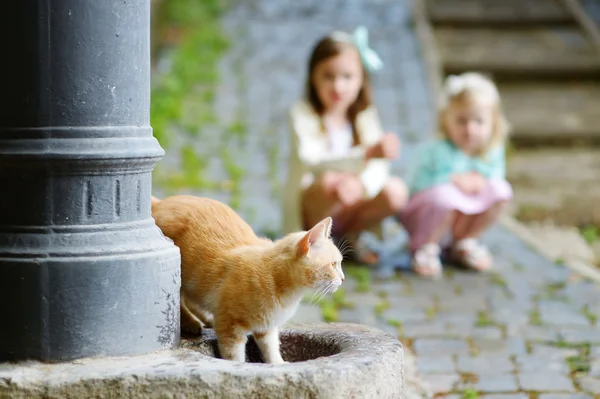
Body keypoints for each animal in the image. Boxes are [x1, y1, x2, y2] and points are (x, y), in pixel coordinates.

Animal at [152, 195, 344, 364]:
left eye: (339, 263)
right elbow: (235, 356)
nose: (343, 279)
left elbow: (271, 348)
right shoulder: (230, 327)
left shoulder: (266, 327)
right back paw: (190, 322)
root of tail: (159, 202)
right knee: (180, 300)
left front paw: (278, 364)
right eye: (334, 264)